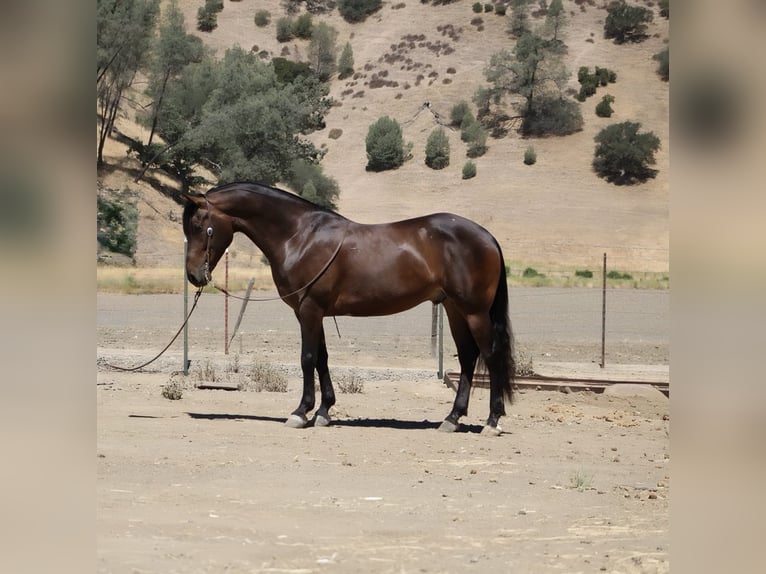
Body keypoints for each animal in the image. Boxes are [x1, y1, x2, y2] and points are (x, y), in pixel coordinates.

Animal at [182, 181, 515, 435]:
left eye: (199, 226)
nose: (194, 276)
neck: (299, 235)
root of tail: (487, 236)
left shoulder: (309, 310)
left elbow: (307, 359)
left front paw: (300, 412)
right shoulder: (312, 312)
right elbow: (322, 359)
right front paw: (324, 411)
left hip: (473, 311)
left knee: (491, 355)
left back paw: (492, 421)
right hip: (454, 309)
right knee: (469, 357)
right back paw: (452, 419)